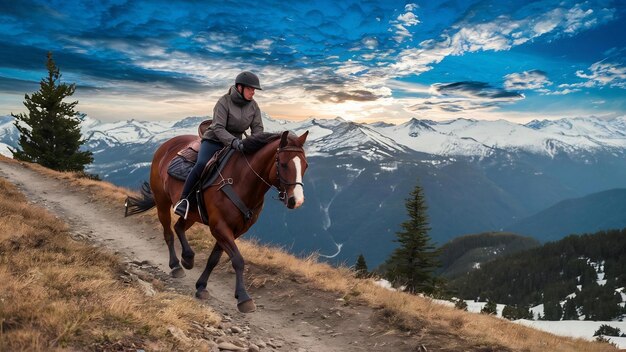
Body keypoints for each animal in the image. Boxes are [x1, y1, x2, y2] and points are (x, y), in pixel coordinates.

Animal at [123, 131, 308, 312]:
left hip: (192, 213)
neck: (241, 180)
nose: (297, 201)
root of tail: (167, 144)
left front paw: (201, 286)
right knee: (168, 233)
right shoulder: (219, 227)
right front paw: (244, 298)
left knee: (178, 227)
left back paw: (188, 258)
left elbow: (214, 259)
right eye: (283, 164)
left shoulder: (234, 230)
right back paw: (176, 265)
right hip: (162, 201)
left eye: (305, 166)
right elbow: (238, 260)